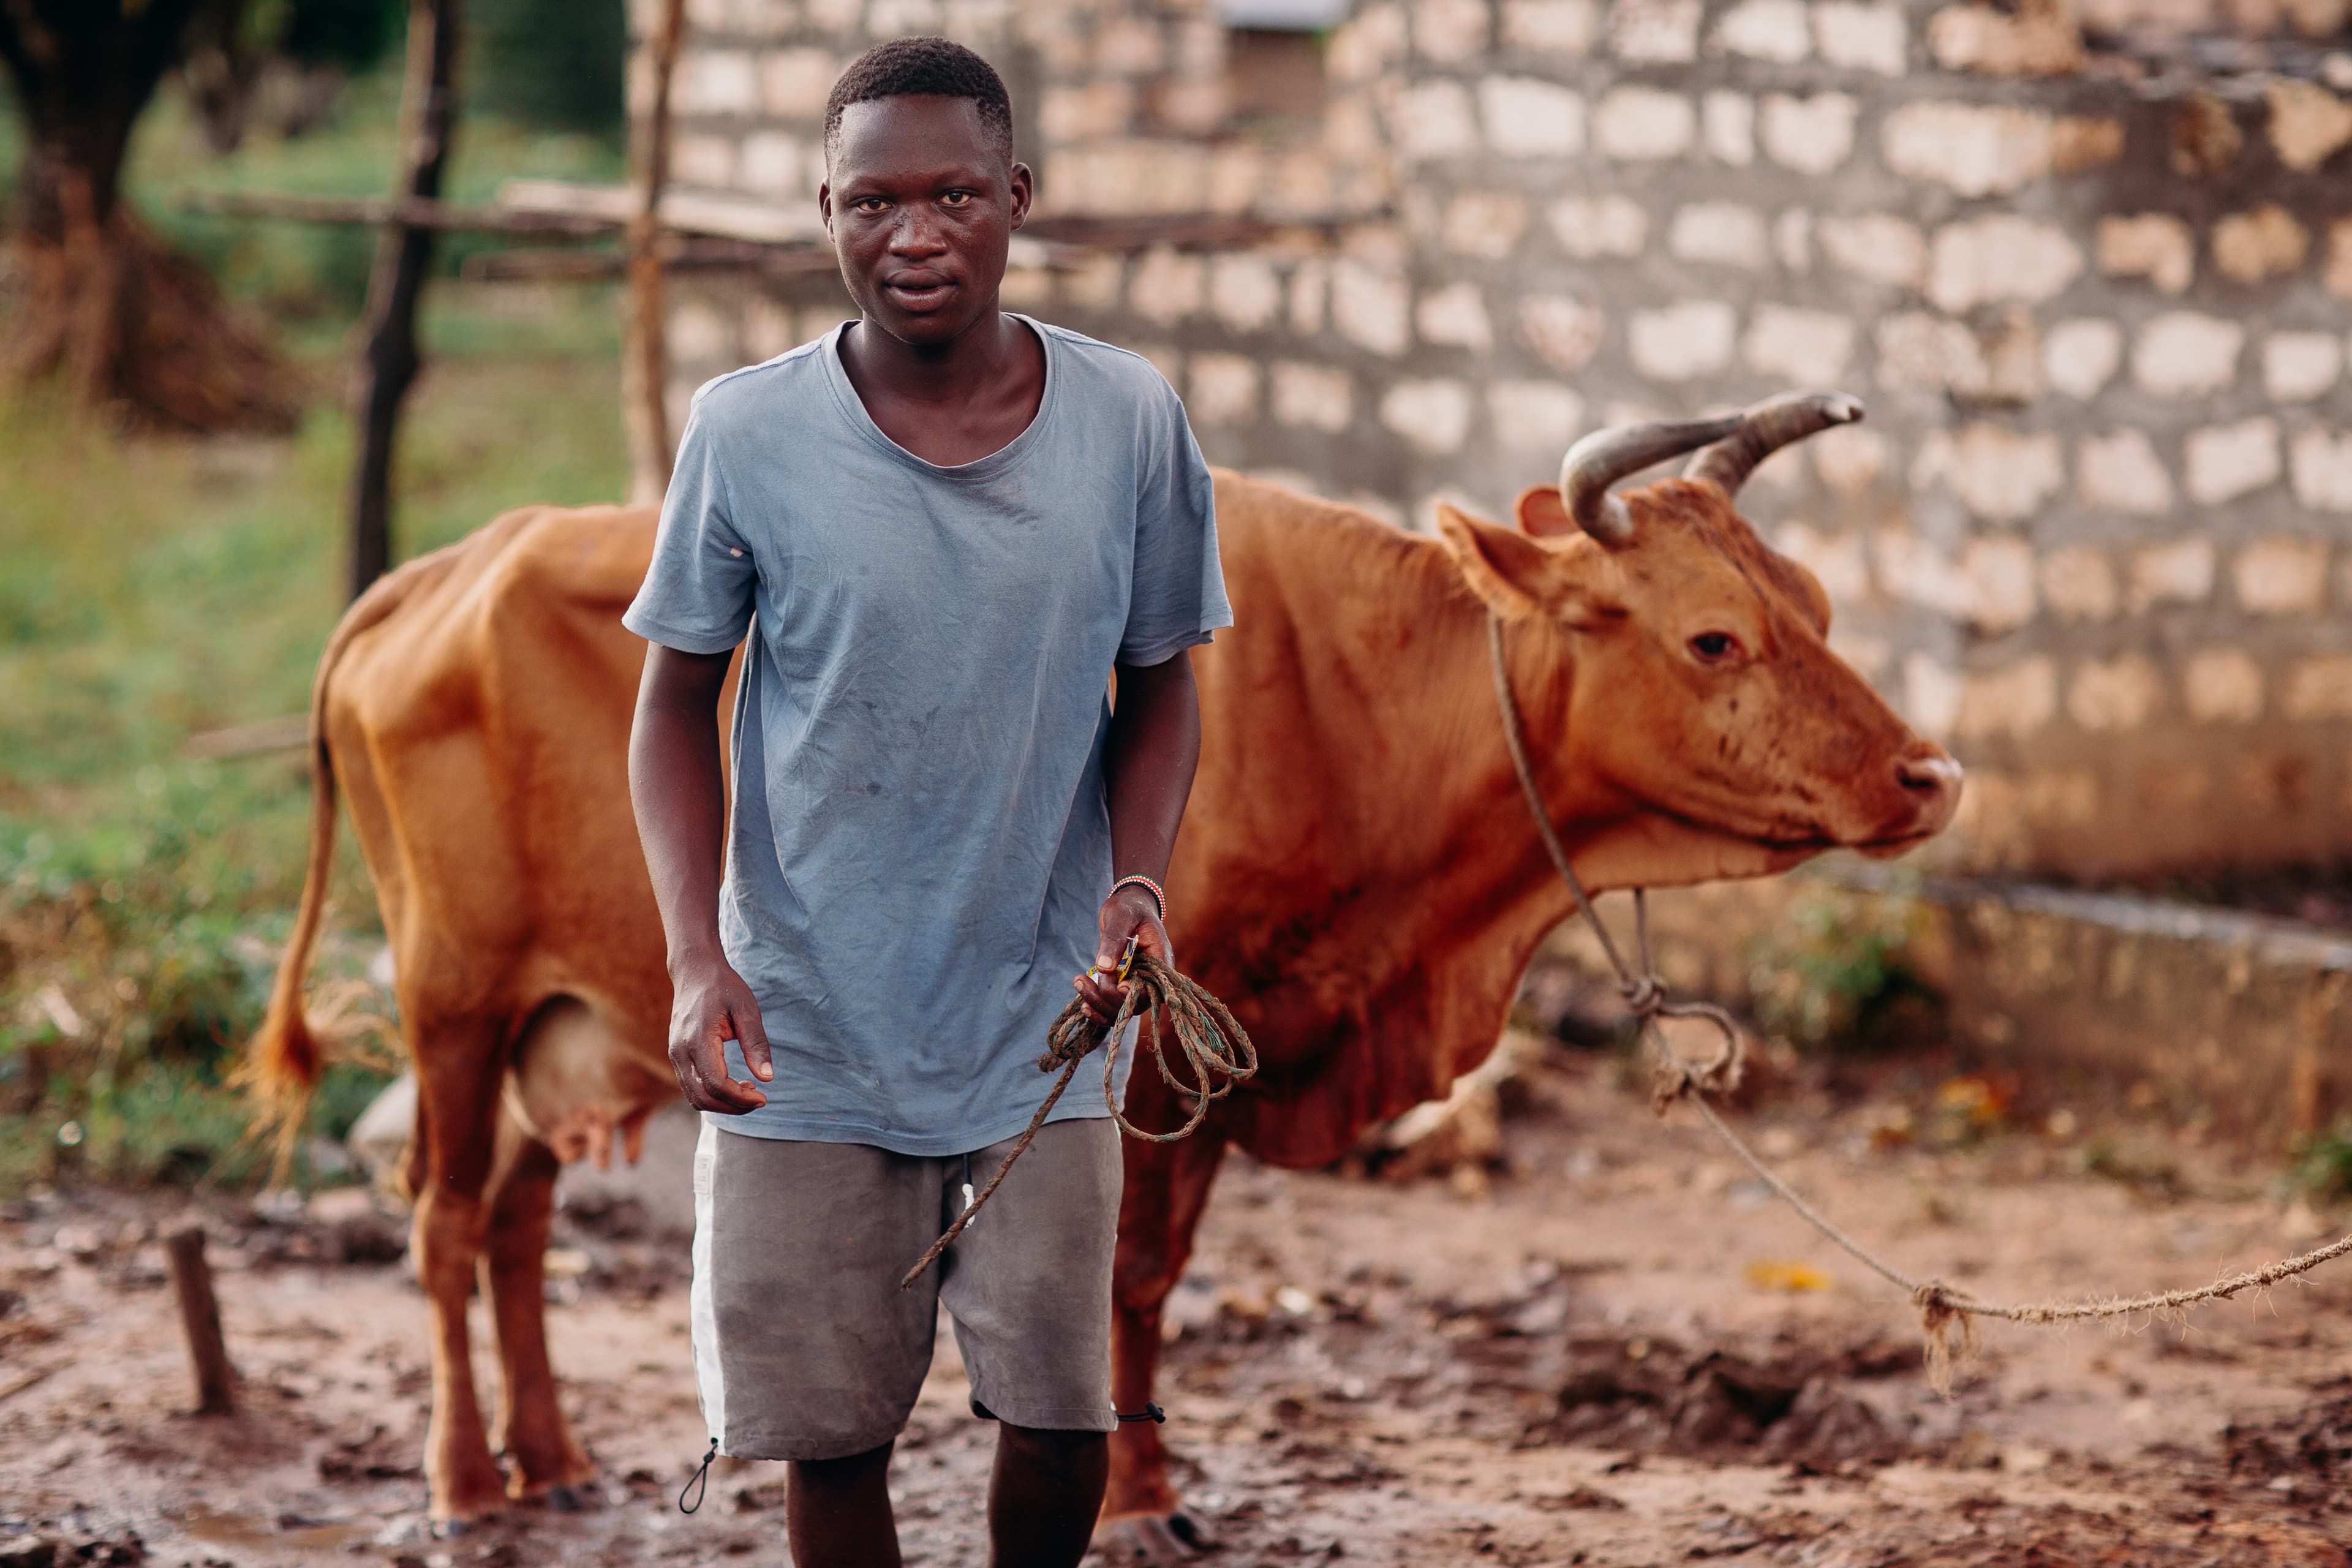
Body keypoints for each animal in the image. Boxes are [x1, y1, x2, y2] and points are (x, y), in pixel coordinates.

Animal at [243, 392, 1959, 1542]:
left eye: (1810, 602)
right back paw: (468, 1482)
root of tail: (431, 576)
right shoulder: (1145, 1054)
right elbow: (1123, 1274)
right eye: (1713, 636)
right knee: (445, 1223)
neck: (1354, 695)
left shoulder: (1209, 1040)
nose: (1929, 777)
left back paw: (554, 1456)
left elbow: (1148, 1276)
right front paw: (1137, 1497)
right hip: (452, 997)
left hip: (568, 1018)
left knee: (516, 1219)